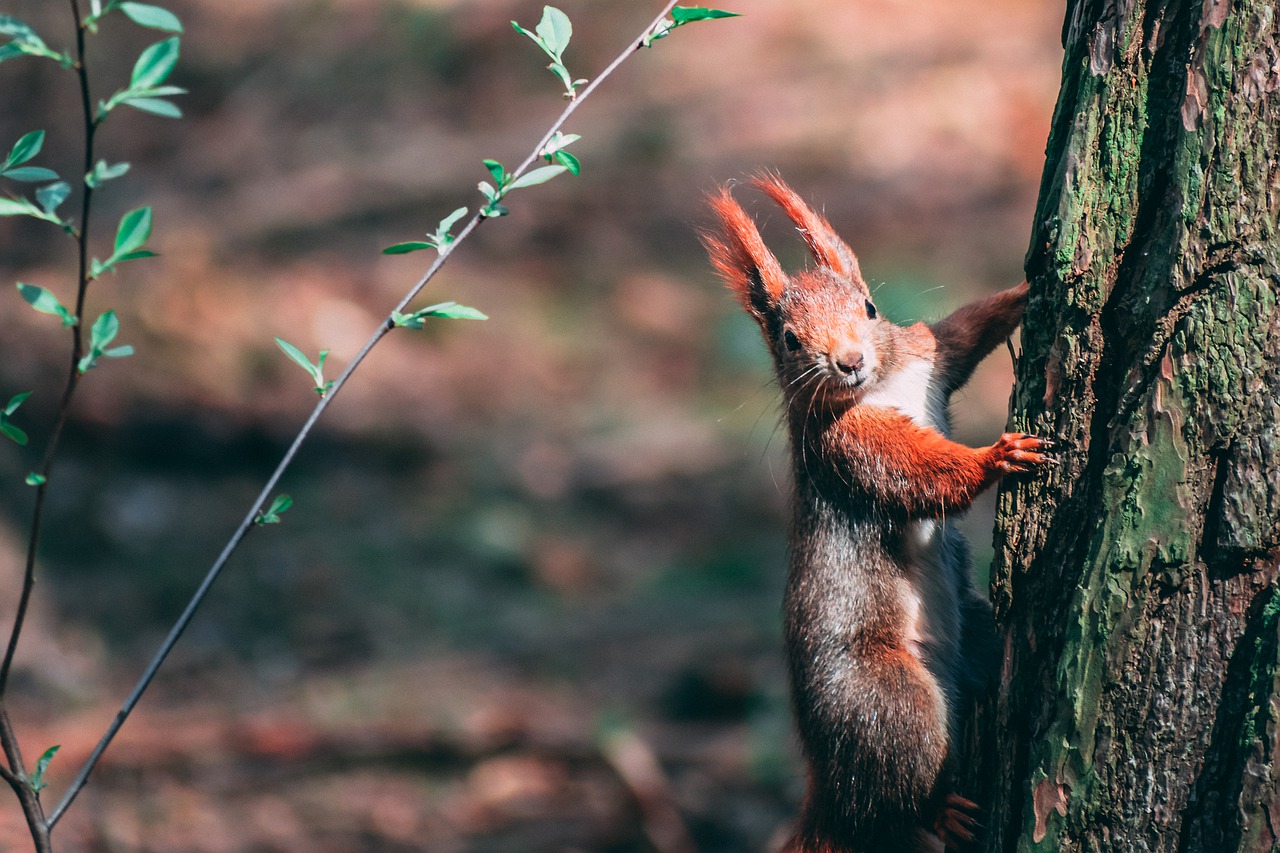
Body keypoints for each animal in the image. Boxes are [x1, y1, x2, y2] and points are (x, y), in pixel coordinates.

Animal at [706, 174, 1054, 850]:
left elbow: (962, 332)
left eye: (869, 308)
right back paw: (940, 811)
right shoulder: (846, 446)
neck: (879, 386)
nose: (849, 361)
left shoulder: (925, 353)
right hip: (886, 699)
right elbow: (920, 471)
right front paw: (996, 456)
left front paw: (1027, 292)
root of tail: (827, 786)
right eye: (789, 340)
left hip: (972, 632)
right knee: (896, 787)